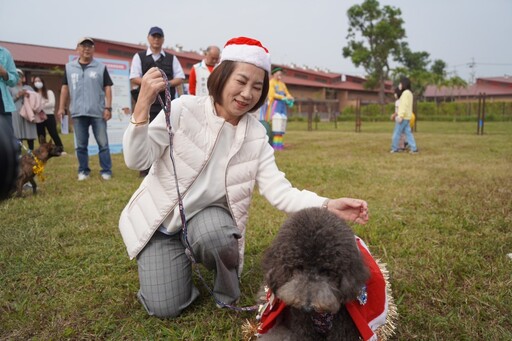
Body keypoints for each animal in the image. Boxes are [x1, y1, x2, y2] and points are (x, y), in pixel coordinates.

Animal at [253, 207, 396, 340]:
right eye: (298, 267)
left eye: (327, 272)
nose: (307, 308)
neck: (321, 316)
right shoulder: (302, 327)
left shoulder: (344, 329)